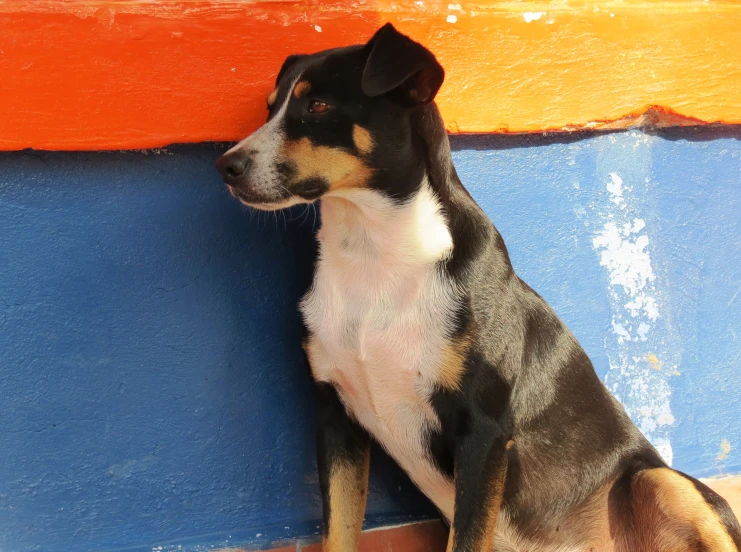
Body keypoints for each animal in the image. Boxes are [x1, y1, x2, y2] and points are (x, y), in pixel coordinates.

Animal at [215, 22, 740, 552]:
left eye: (318, 106)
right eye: (269, 107)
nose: (227, 165)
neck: (374, 254)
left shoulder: (482, 431)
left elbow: (467, 535)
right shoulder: (336, 418)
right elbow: (339, 533)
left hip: (661, 481)